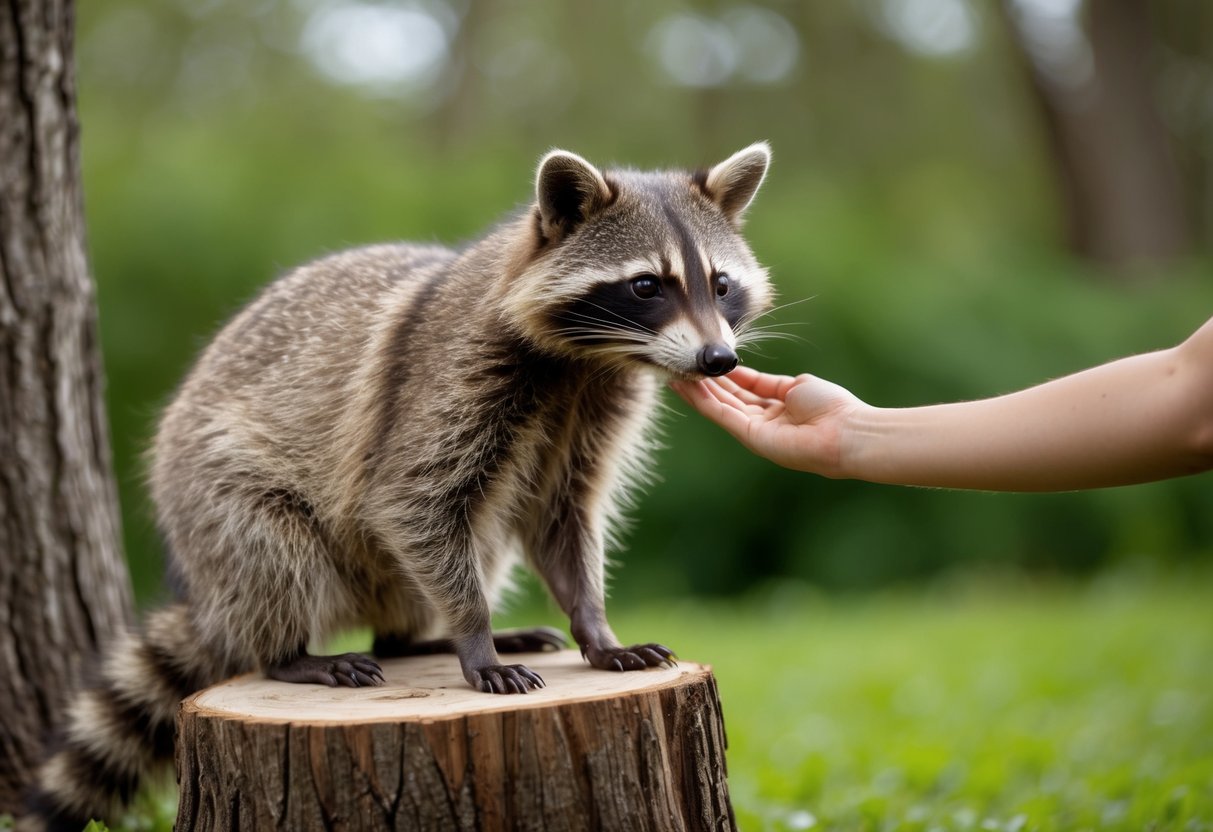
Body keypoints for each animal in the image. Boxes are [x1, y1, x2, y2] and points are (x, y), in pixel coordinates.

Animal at [22, 143, 773, 830]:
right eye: (647, 285)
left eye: (720, 283)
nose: (718, 359)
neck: (585, 359)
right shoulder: (447, 377)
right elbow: (409, 500)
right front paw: (473, 635)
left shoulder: (594, 410)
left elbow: (562, 517)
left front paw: (593, 627)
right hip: (210, 488)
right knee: (274, 552)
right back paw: (291, 654)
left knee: (474, 547)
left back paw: (411, 640)